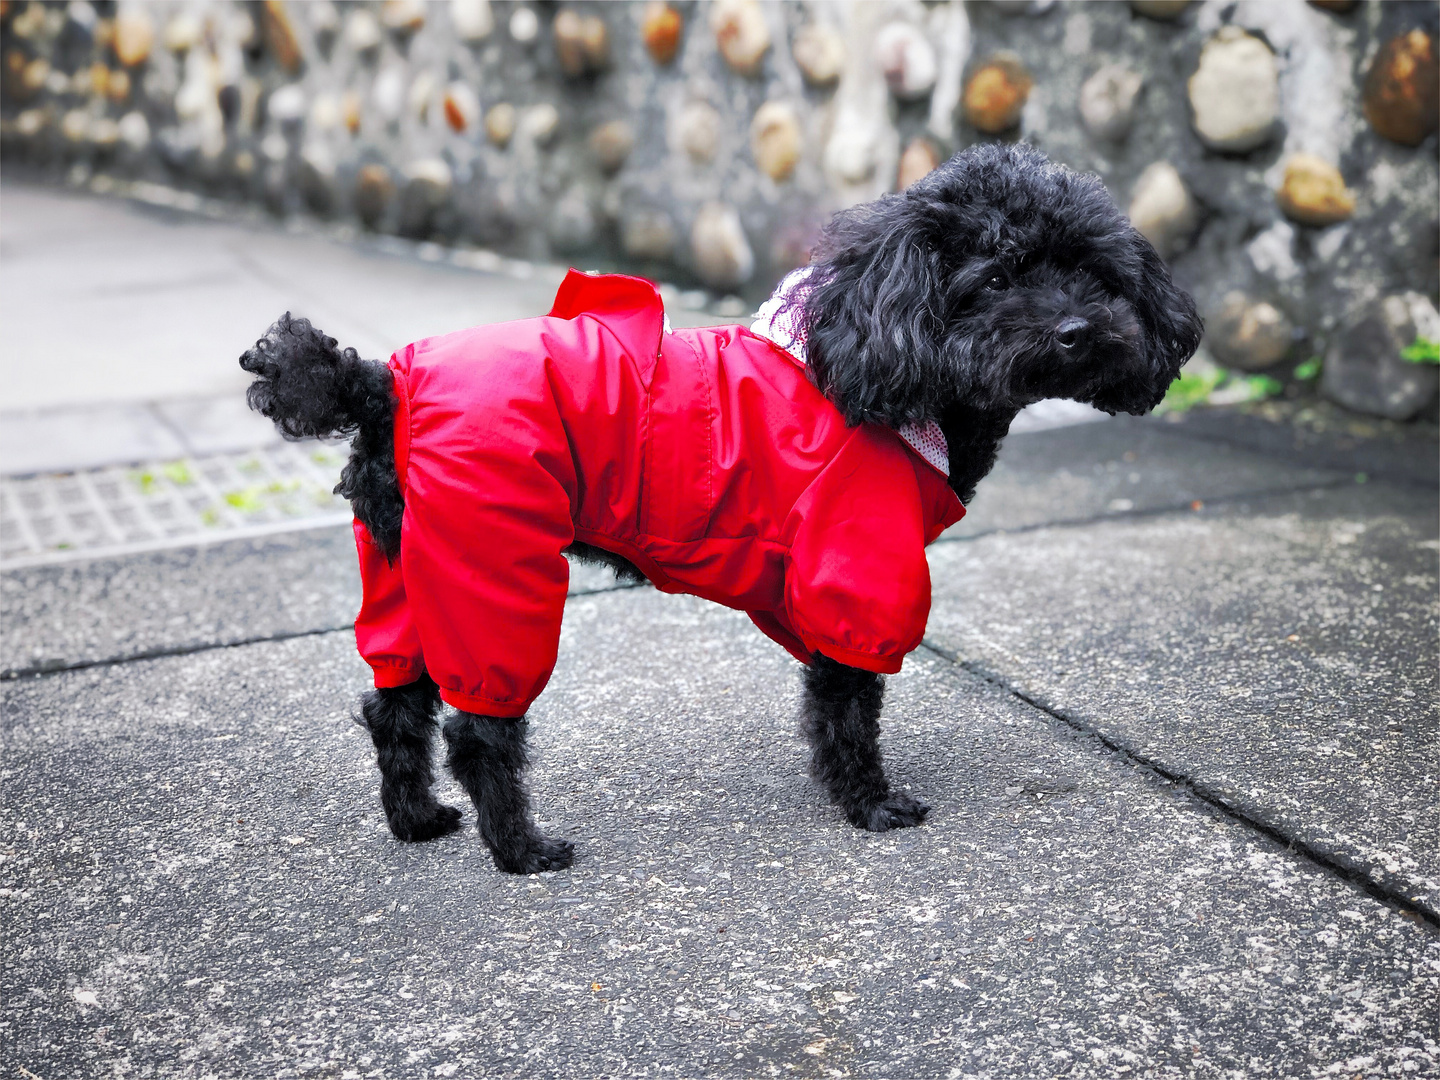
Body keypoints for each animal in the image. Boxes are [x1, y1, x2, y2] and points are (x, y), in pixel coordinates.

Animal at [239, 144, 1203, 875]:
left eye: (1094, 272)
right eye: (997, 276)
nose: (1079, 332)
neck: (879, 358)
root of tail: (382, 385)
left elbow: (831, 700)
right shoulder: (854, 571)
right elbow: (848, 706)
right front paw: (871, 805)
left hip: (406, 571)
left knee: (394, 708)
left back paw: (419, 822)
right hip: (491, 564)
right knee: (481, 732)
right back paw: (521, 851)